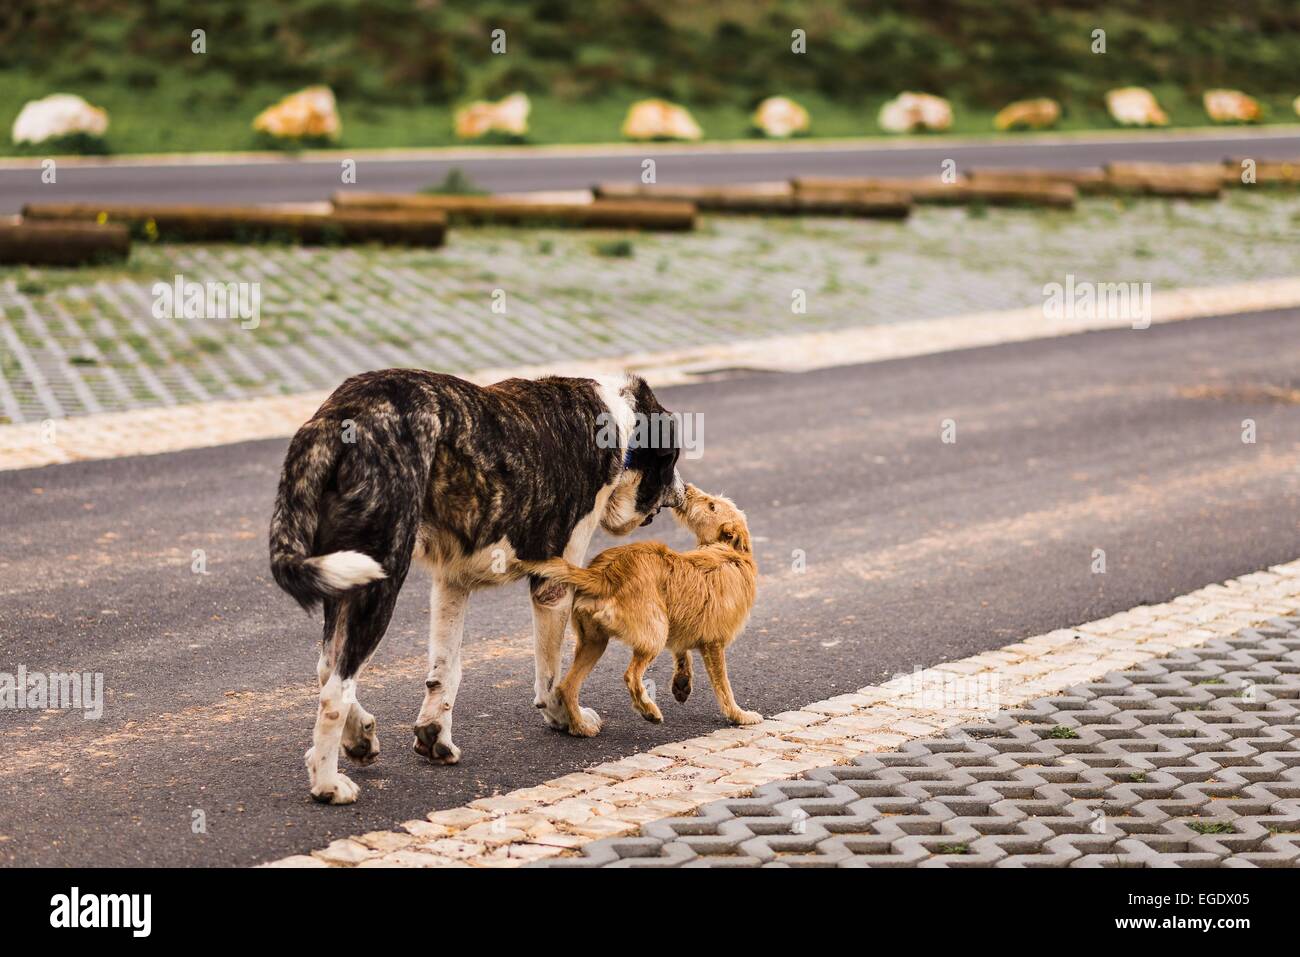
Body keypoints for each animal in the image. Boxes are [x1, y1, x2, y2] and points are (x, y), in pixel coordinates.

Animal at [270, 369, 686, 806]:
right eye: (673, 459)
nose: (683, 492)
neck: (618, 419)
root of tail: (338, 414)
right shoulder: (552, 588)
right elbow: (552, 674)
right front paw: (565, 718)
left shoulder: (451, 584)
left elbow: (445, 672)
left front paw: (435, 736)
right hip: (378, 583)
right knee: (335, 691)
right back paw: (328, 783)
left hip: (344, 582)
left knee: (327, 668)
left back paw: (358, 737)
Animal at [520, 481, 759, 738]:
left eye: (712, 505)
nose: (686, 487)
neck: (732, 552)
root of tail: (604, 574)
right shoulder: (714, 644)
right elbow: (724, 688)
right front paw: (739, 715)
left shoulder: (680, 624)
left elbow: (682, 652)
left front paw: (682, 682)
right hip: (653, 635)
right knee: (631, 676)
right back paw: (648, 711)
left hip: (595, 642)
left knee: (566, 687)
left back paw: (580, 727)